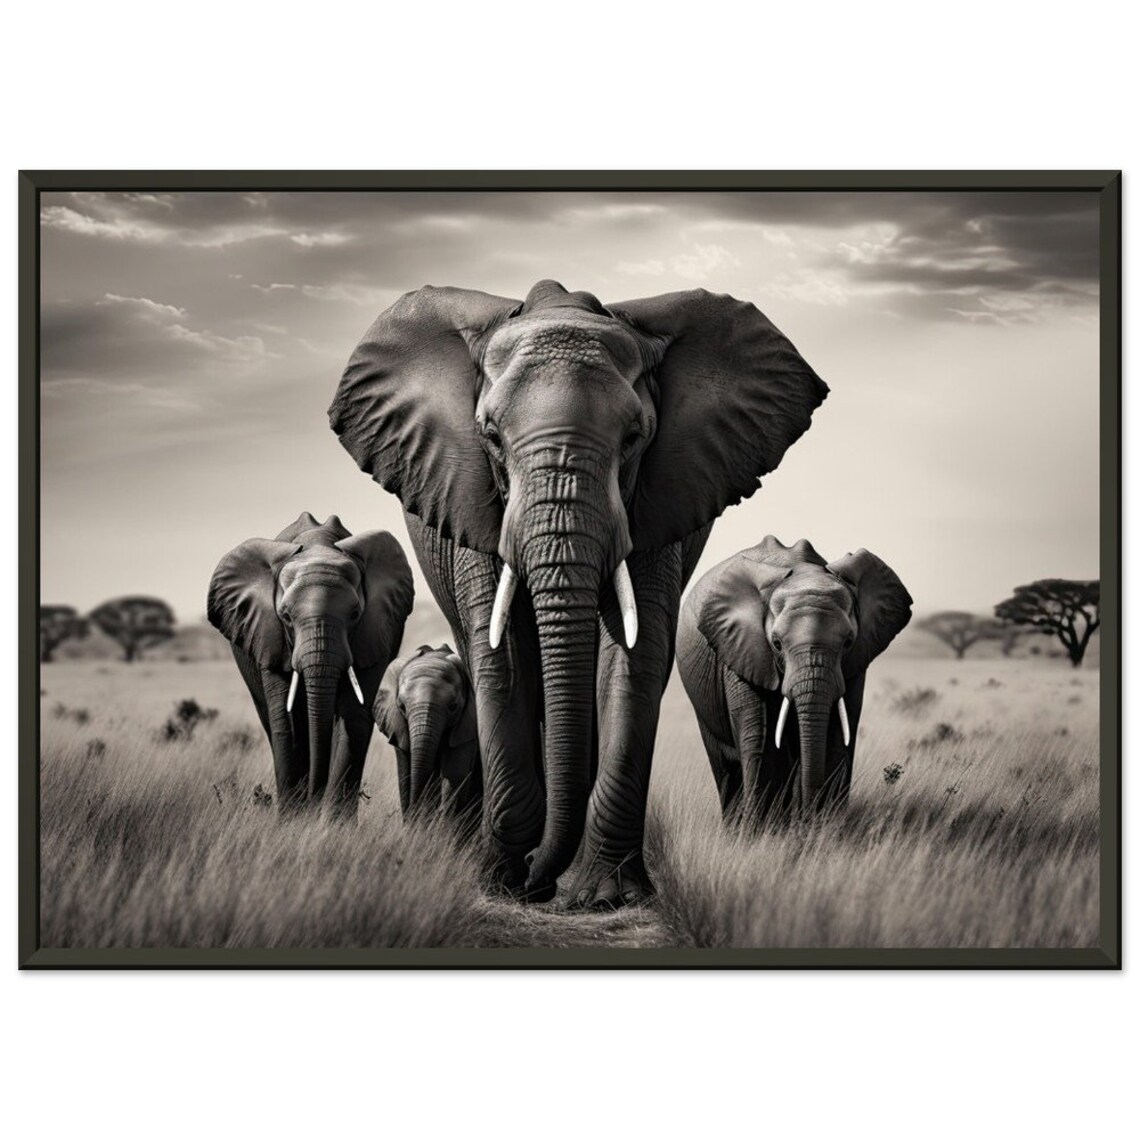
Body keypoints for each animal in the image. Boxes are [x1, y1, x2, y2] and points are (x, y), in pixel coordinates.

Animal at [207, 512, 414, 817]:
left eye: (355, 614)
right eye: (285, 616)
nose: (315, 797)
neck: (319, 546)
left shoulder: (375, 635)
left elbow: (352, 718)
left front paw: (333, 824)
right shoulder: (271, 637)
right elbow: (288, 721)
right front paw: (293, 821)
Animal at [676, 536, 912, 824]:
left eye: (848, 642)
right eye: (776, 643)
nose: (808, 818)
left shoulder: (855, 662)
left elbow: (837, 737)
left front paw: (823, 828)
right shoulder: (741, 649)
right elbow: (762, 738)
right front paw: (763, 831)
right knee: (725, 764)